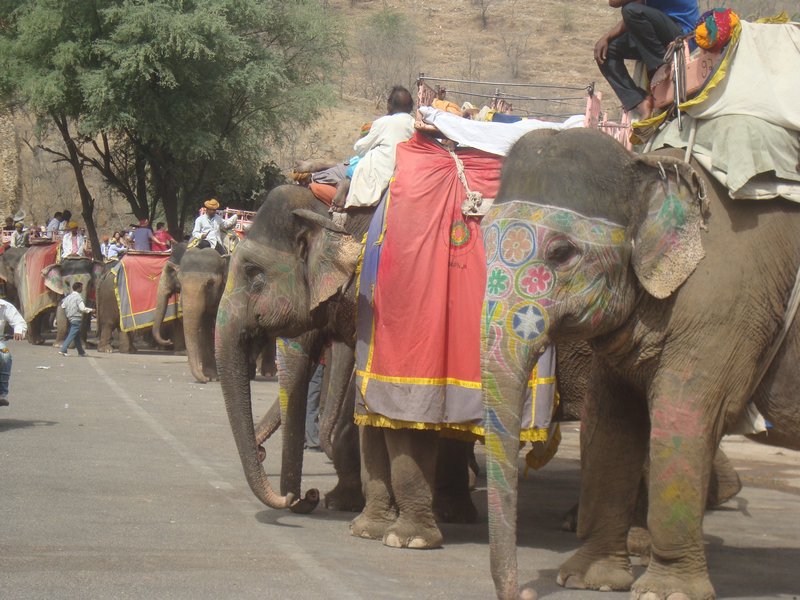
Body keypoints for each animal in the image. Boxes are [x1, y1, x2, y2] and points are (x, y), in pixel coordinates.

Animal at [482, 129, 800, 600]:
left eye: (561, 253)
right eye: (481, 239)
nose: (525, 592)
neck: (645, 169)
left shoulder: (727, 303)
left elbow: (682, 416)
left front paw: (663, 592)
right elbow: (609, 421)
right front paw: (588, 579)